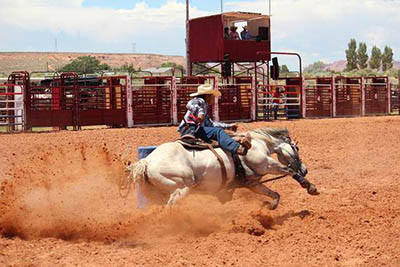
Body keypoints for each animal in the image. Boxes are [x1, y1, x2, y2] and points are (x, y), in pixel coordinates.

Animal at [128, 128, 318, 211]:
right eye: (296, 148)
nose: (305, 169)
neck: (256, 144)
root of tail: (147, 161)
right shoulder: (267, 164)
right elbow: (289, 171)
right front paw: (310, 187)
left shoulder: (252, 183)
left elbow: (273, 193)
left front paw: (271, 205)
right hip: (182, 188)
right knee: (170, 207)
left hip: (158, 193)